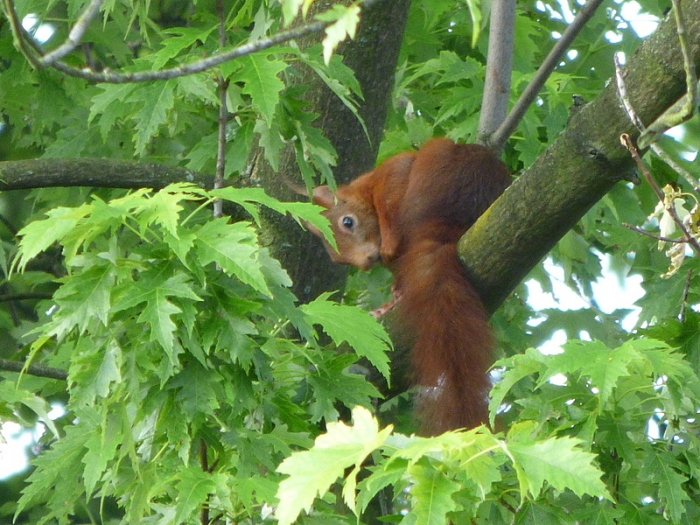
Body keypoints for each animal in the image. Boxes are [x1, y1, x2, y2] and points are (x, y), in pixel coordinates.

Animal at [301, 137, 511, 435]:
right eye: (335, 256)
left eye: (348, 222)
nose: (366, 262)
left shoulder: (390, 174)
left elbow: (390, 187)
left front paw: (388, 244)